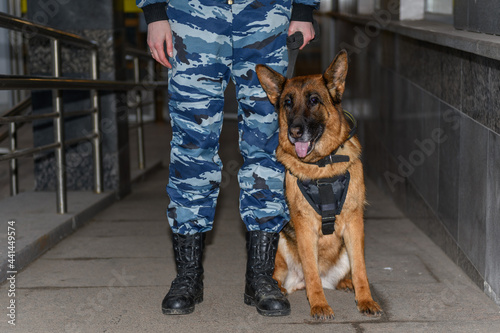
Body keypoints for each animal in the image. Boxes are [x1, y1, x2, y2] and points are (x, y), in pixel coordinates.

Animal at [258, 50, 382, 320]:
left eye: (314, 100)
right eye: (287, 103)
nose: (294, 132)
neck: (322, 165)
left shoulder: (354, 222)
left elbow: (361, 270)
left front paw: (365, 299)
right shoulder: (304, 226)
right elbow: (311, 271)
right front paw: (319, 305)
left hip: (346, 250)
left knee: (343, 273)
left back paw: (346, 284)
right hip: (281, 242)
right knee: (295, 276)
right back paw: (278, 289)